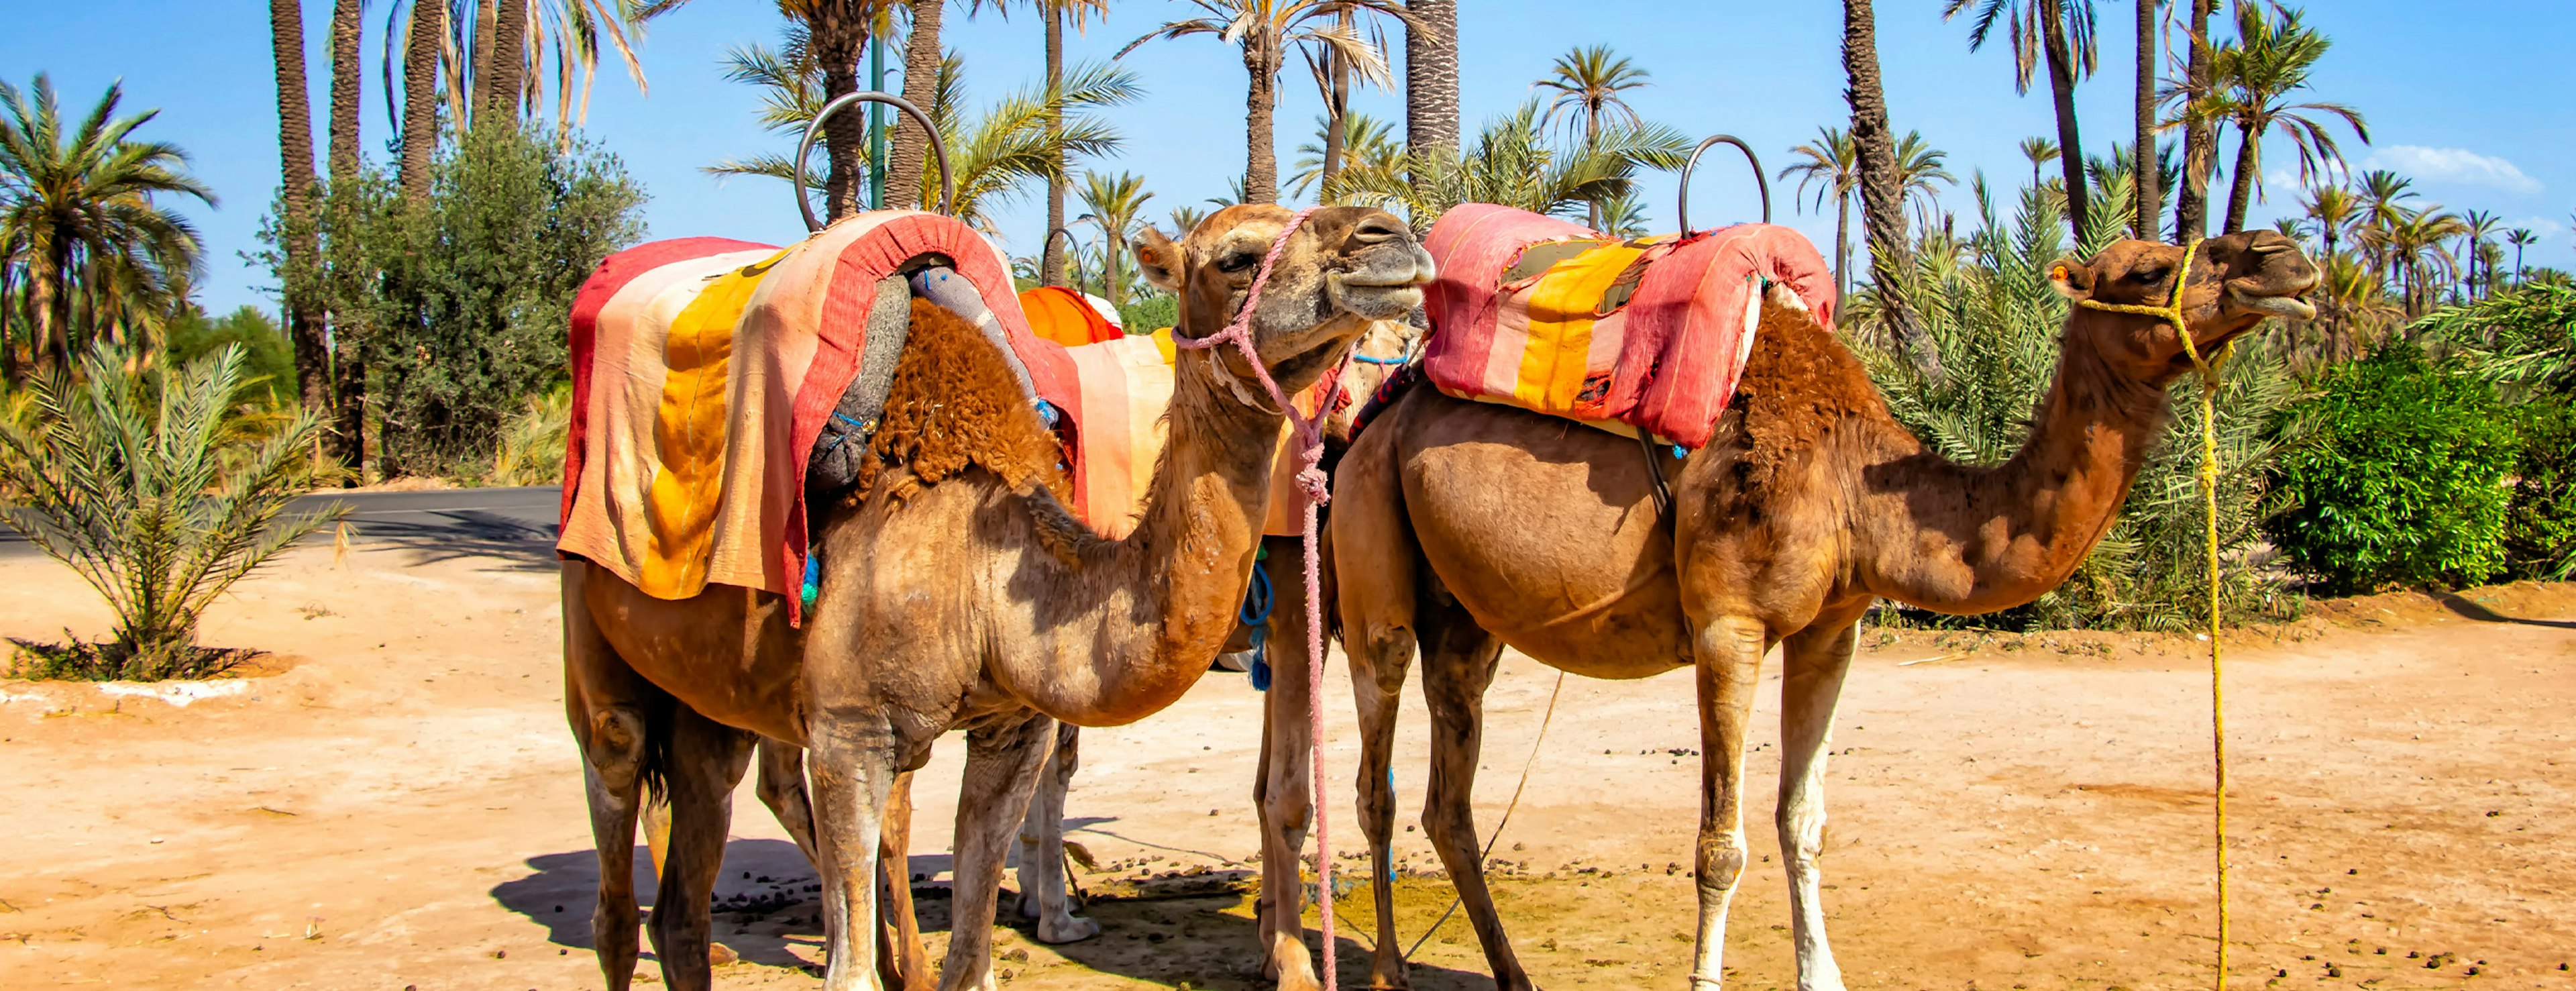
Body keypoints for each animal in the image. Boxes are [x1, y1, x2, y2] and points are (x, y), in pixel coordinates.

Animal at [566, 203, 1442, 988]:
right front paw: (1280, 959)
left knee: (690, 873)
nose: (1390, 236)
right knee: (620, 838)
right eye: (1237, 257)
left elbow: (977, 946)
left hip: (710, 701)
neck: (978, 567)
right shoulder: (850, 733)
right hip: (603, 642)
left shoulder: (1010, 729)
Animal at [1241, 227, 2318, 983]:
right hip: (1373, 560)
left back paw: (1514, 976)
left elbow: (1804, 821)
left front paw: (1823, 973)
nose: (2284, 257)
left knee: (1448, 796)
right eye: (2145, 270)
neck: (1857, 481)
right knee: (1375, 781)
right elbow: (1721, 845)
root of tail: (1375, 408)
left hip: (1465, 616)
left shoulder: (1833, 631)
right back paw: (1386, 973)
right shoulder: (1731, 625)